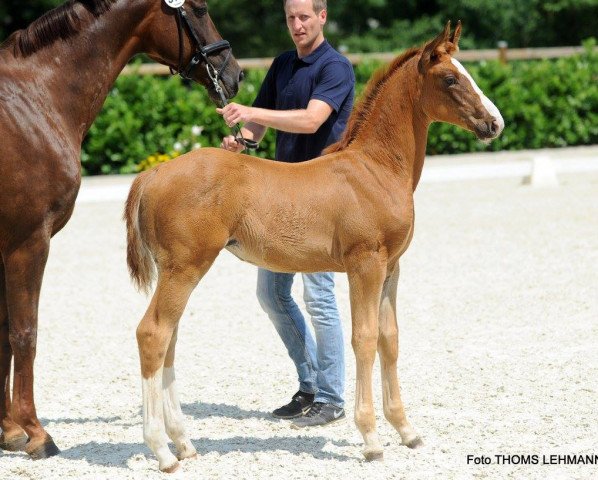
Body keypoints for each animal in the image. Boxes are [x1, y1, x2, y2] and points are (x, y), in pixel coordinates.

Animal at [0, 0, 244, 458]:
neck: (35, 99)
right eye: (200, 8)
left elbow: (4, 333)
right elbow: (25, 333)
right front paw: (35, 432)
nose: (234, 74)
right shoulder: (28, 242)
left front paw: (8, 429)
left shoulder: (5, 248)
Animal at [126, 22, 506, 472]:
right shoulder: (365, 265)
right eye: (450, 78)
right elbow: (364, 339)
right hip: (184, 268)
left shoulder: (392, 268)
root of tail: (153, 174)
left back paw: (184, 443)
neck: (375, 170)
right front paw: (371, 439)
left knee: (169, 340)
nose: (495, 123)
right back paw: (163, 451)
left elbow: (390, 338)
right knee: (153, 334)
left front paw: (407, 430)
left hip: (178, 272)